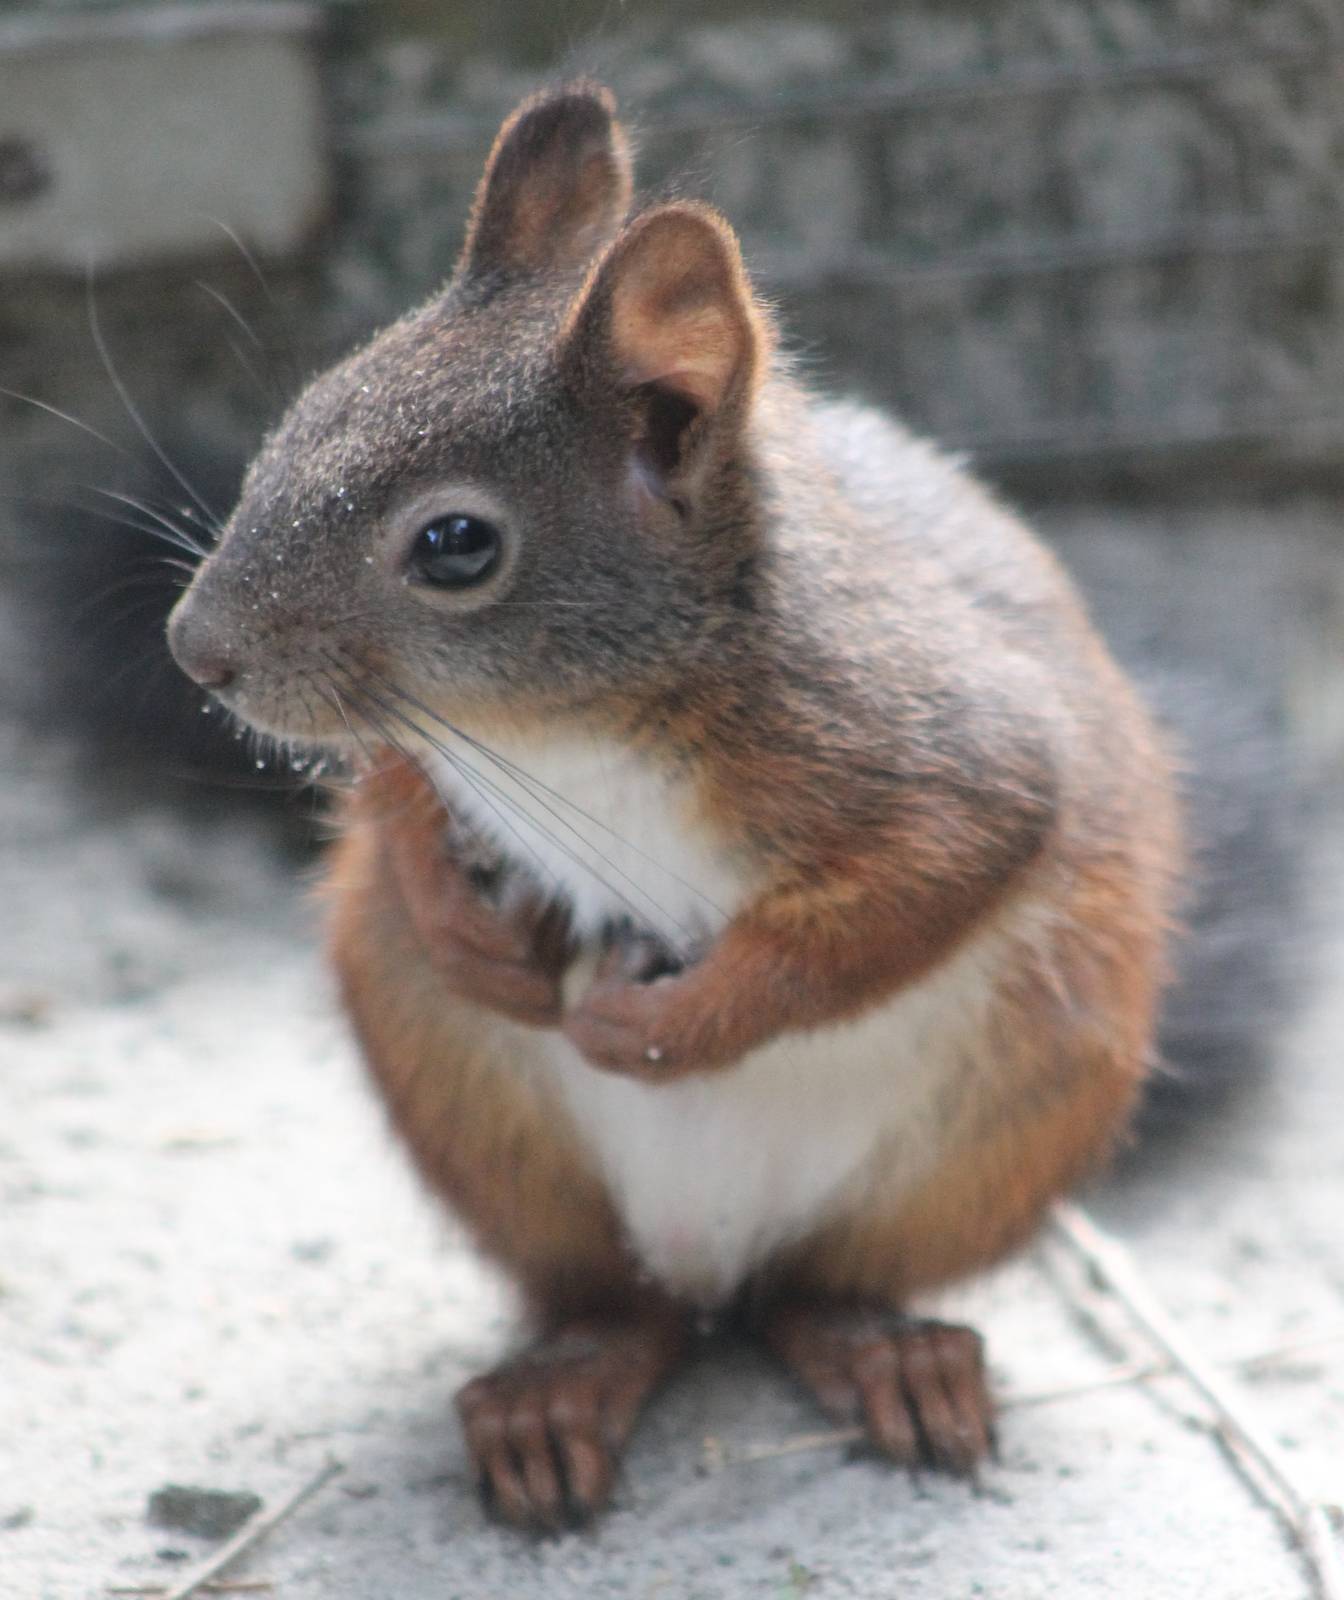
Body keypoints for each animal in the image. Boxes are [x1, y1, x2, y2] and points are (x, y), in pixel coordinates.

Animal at [166, 84, 1182, 1530]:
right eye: (298, 421)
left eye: (456, 545)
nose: (197, 649)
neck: (569, 730)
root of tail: (712, 1253)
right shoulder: (430, 761)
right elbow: (394, 802)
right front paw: (468, 933)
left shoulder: (942, 748)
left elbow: (909, 893)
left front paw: (659, 1030)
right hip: (493, 1141)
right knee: (619, 1304)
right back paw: (557, 1392)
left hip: (1003, 1124)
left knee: (812, 1289)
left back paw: (887, 1352)